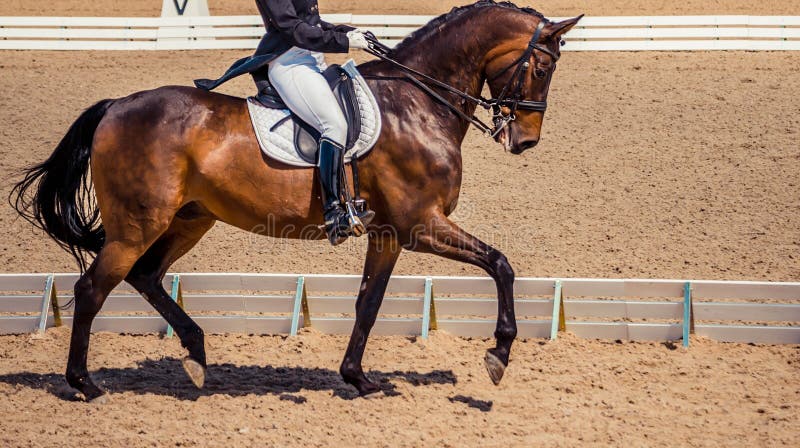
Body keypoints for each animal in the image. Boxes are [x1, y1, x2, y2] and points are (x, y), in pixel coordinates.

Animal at [9, 1, 580, 400]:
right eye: (542, 68)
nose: (525, 141)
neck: (418, 101)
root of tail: (115, 107)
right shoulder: (421, 224)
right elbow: (500, 263)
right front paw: (499, 353)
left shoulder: (389, 233)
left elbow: (369, 303)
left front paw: (358, 378)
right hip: (137, 225)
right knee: (92, 289)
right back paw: (85, 383)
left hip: (188, 220)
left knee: (145, 277)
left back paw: (196, 355)